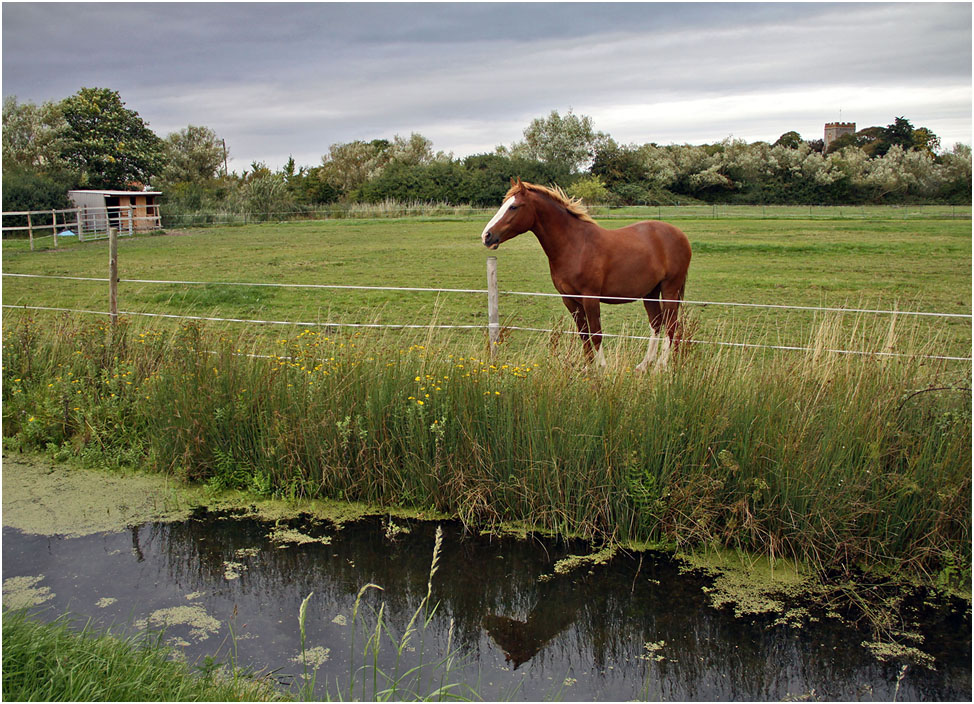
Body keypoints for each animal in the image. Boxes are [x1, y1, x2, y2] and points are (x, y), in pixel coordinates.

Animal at [484, 179, 692, 372]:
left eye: (513, 206)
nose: (486, 236)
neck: (575, 245)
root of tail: (680, 235)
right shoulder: (569, 299)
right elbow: (584, 334)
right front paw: (588, 368)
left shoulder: (590, 298)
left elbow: (596, 333)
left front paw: (601, 368)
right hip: (650, 292)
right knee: (656, 323)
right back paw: (644, 365)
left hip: (670, 290)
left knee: (671, 325)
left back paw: (661, 367)